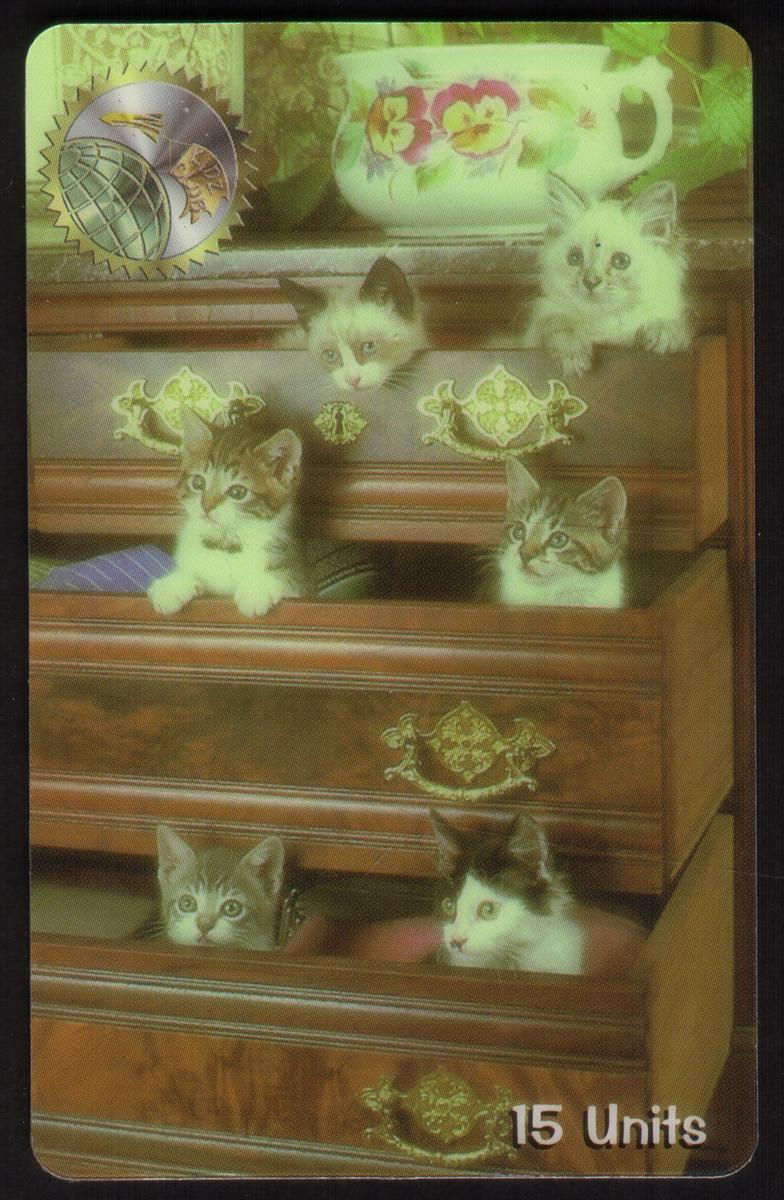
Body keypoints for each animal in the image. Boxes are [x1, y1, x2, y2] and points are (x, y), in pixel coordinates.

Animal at [147, 406, 305, 618]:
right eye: (198, 482)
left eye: (237, 492)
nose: (206, 505)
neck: (224, 543)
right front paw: (173, 584)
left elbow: (289, 577)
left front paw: (256, 589)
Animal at [522, 174, 690, 377]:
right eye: (574, 258)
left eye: (621, 261)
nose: (590, 281)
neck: (607, 321)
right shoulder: (539, 325)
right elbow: (559, 323)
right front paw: (573, 357)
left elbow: (677, 327)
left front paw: (663, 334)